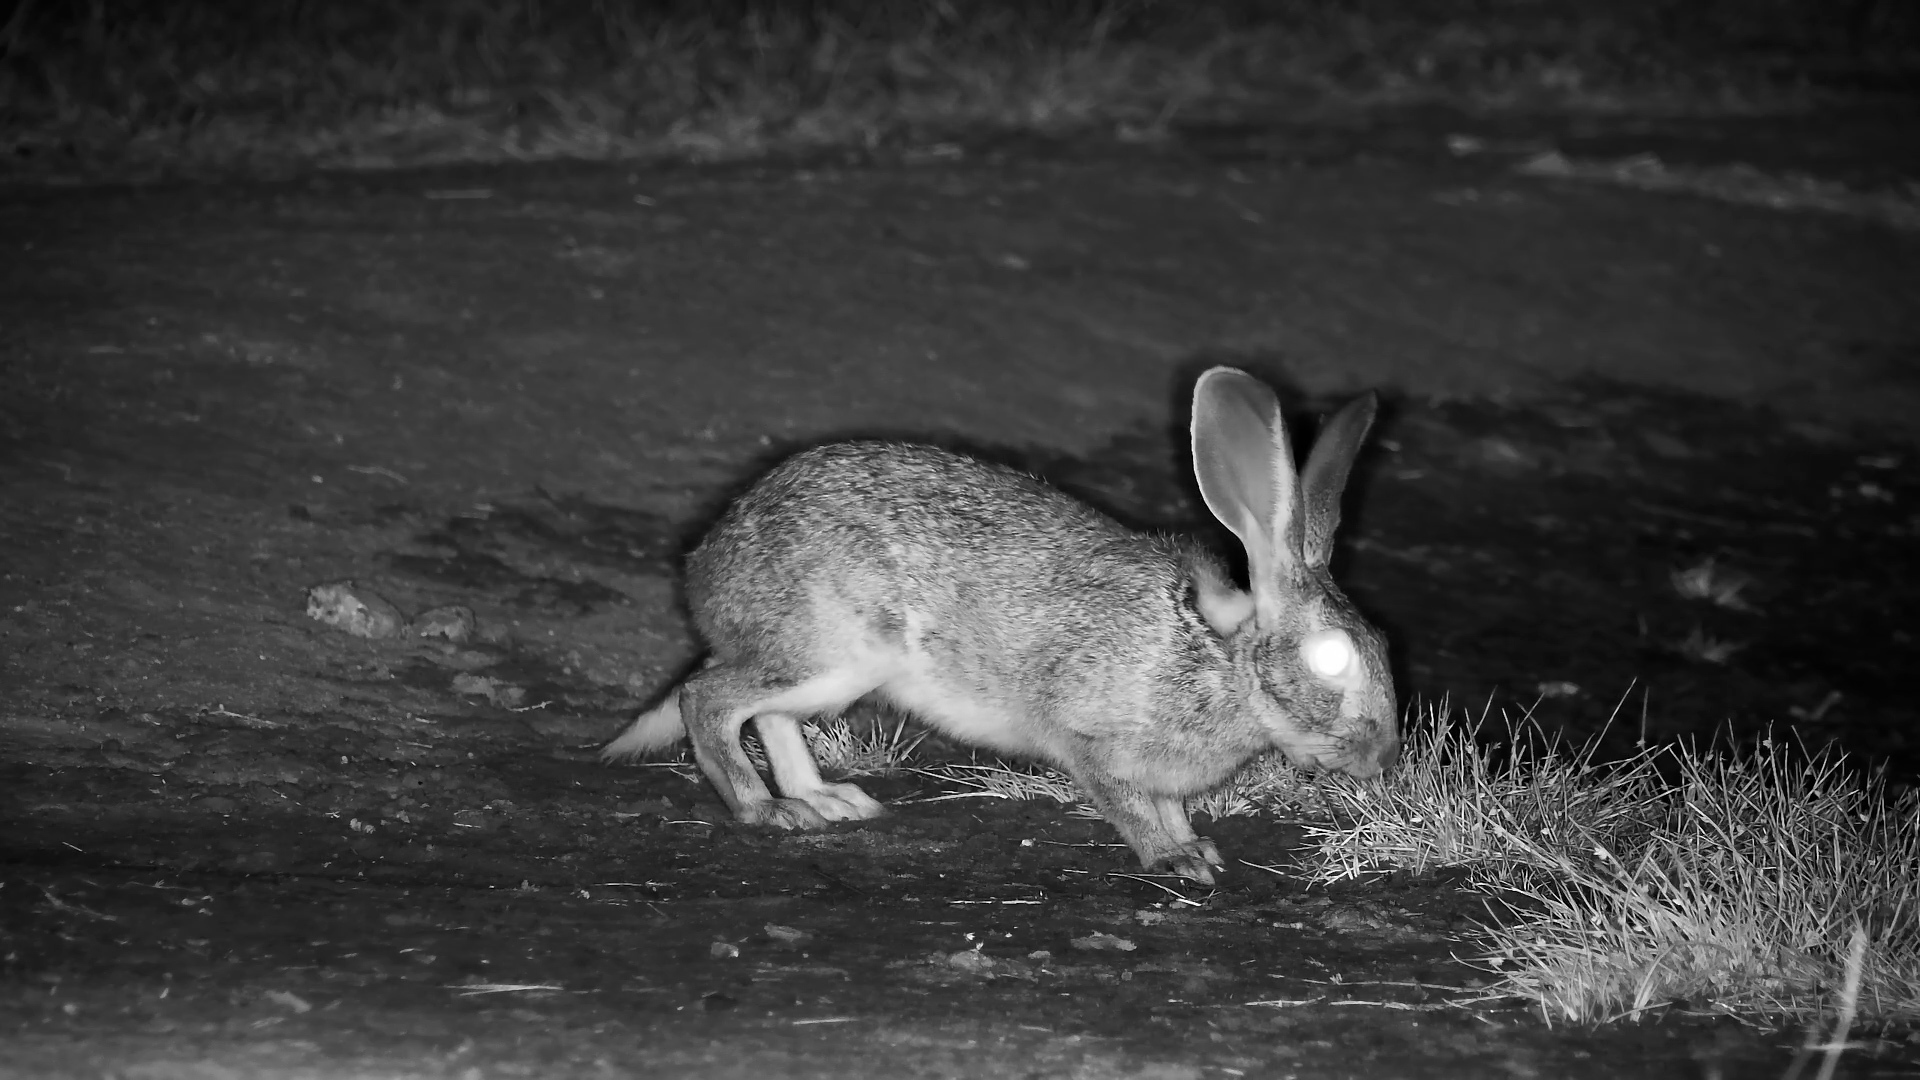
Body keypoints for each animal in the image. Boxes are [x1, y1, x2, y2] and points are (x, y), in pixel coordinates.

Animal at [603, 366, 1399, 884]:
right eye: (1331, 659)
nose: (1382, 759)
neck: (1221, 663)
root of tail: (707, 567)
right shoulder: (1092, 741)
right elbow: (1128, 806)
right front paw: (1173, 861)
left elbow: (1170, 806)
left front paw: (1196, 848)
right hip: (828, 652)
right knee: (708, 699)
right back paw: (765, 809)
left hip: (829, 672)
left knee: (766, 714)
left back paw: (825, 801)